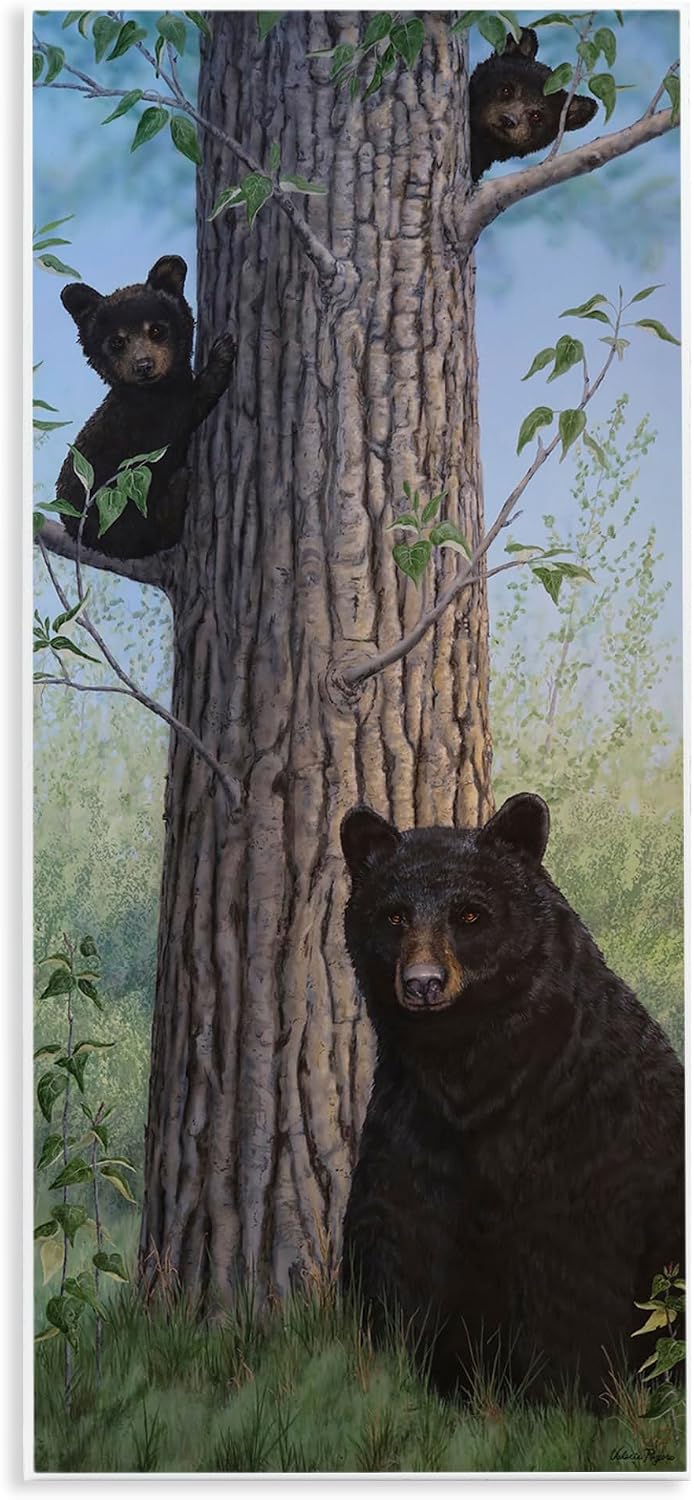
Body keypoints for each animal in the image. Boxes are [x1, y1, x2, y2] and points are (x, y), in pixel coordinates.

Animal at [55, 255, 236, 559]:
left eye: (156, 330)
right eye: (117, 341)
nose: (143, 365)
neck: (152, 391)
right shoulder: (148, 421)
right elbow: (187, 410)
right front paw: (221, 355)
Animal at [339, 793, 684, 1406]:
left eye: (470, 915)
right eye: (394, 915)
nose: (423, 982)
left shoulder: (584, 1142)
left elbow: (572, 1277)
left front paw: (567, 1396)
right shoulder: (413, 1132)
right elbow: (398, 1249)